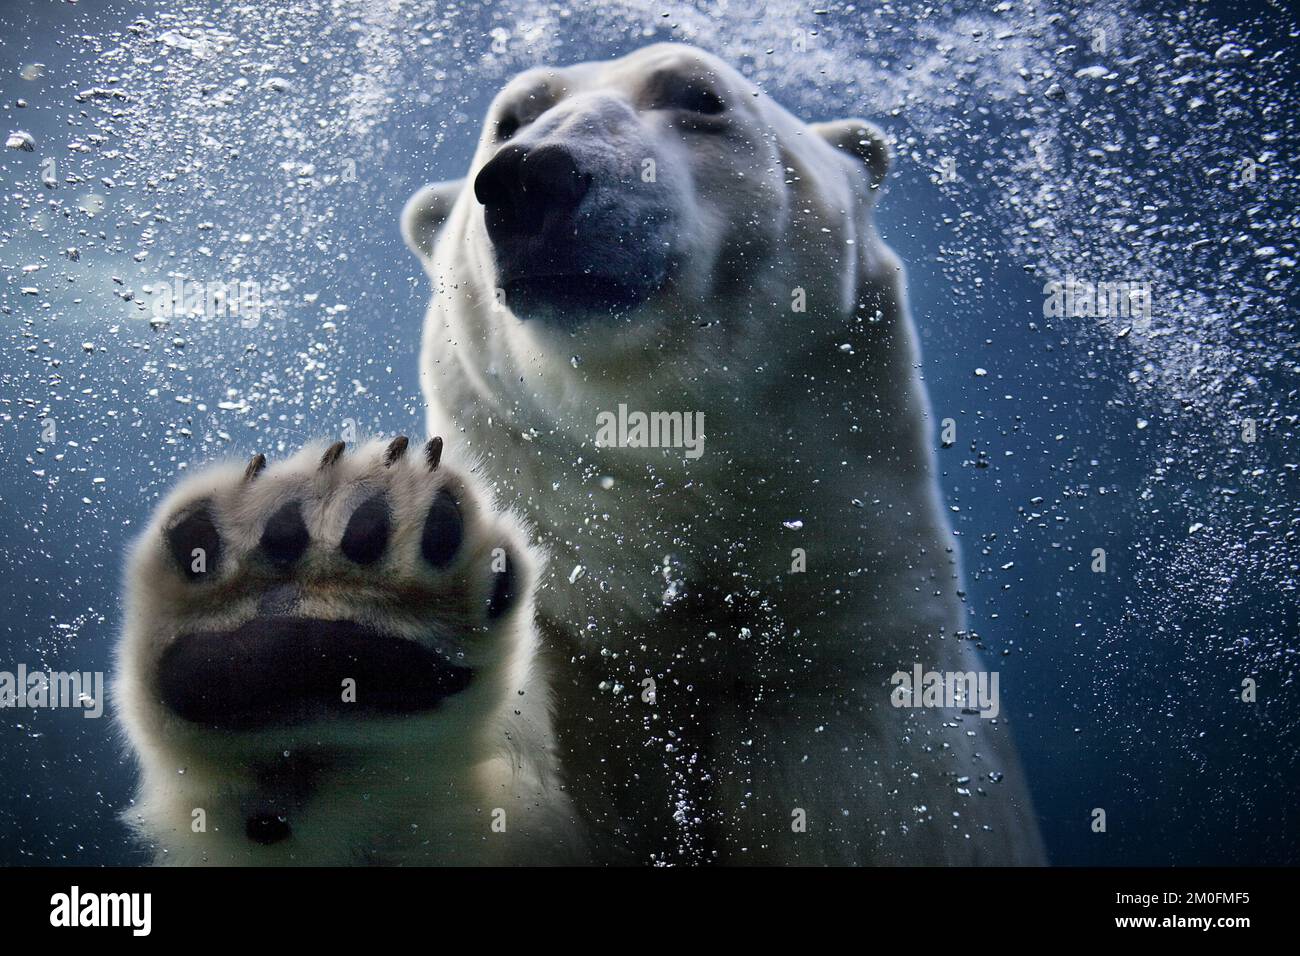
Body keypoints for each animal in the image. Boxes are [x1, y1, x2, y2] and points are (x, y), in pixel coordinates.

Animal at [114, 44, 1045, 868]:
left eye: (700, 96)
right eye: (509, 117)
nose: (531, 177)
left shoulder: (856, 678)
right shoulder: (570, 663)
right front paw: (311, 599)